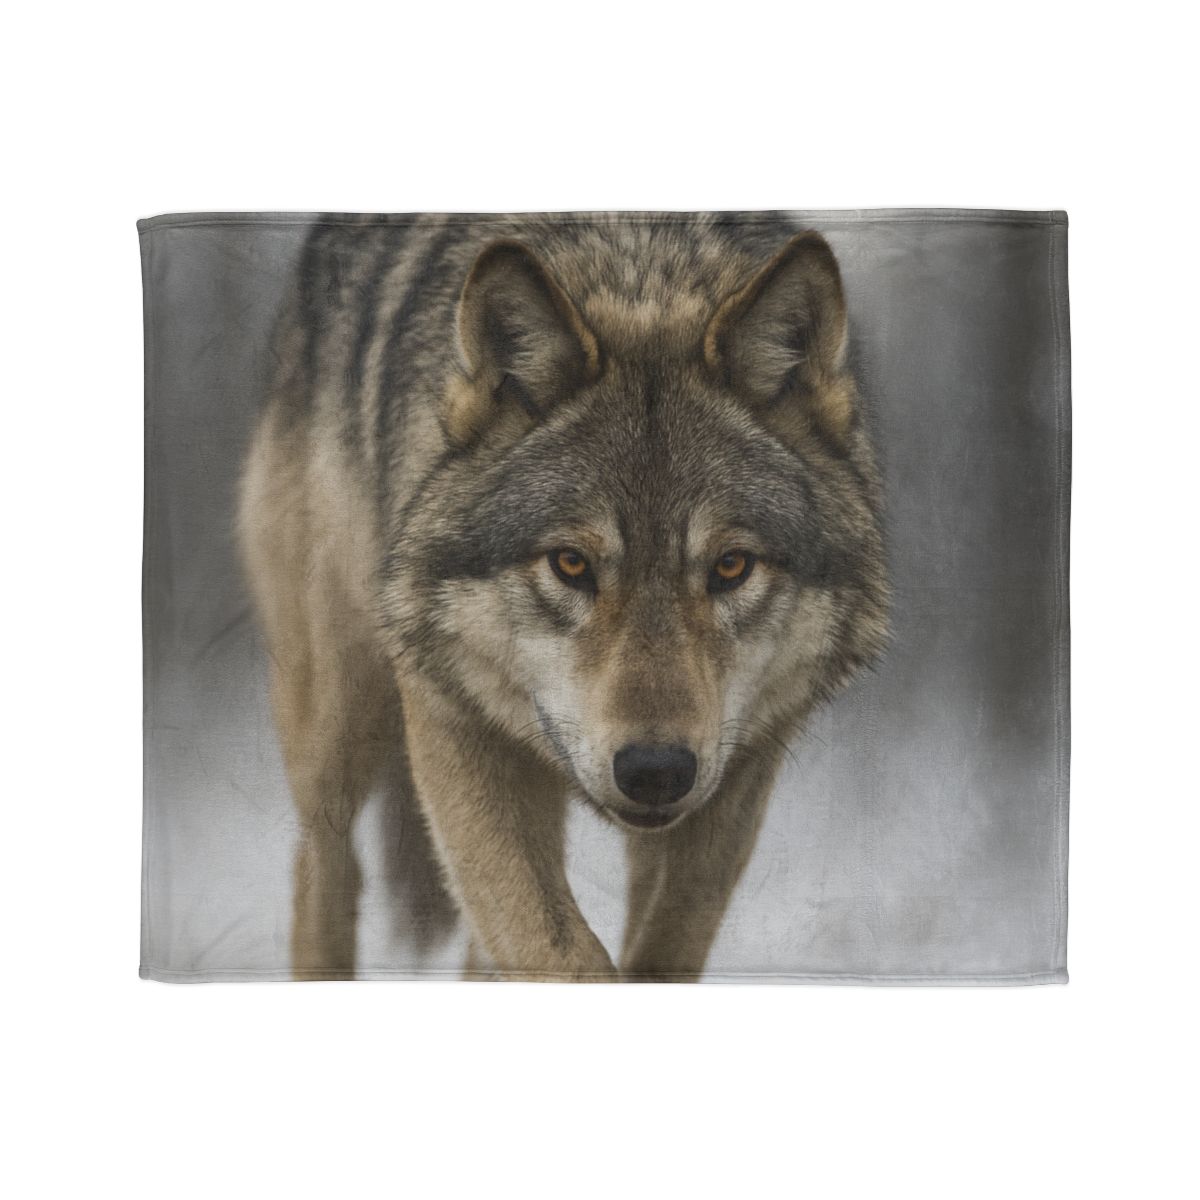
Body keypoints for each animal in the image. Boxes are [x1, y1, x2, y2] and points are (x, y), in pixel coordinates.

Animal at [238, 212, 889, 981]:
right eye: (571, 563)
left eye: (731, 566)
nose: (655, 772)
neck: (641, 272)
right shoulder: (453, 722)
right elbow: (562, 952)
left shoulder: (742, 769)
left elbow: (659, 951)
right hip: (339, 720)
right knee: (325, 861)